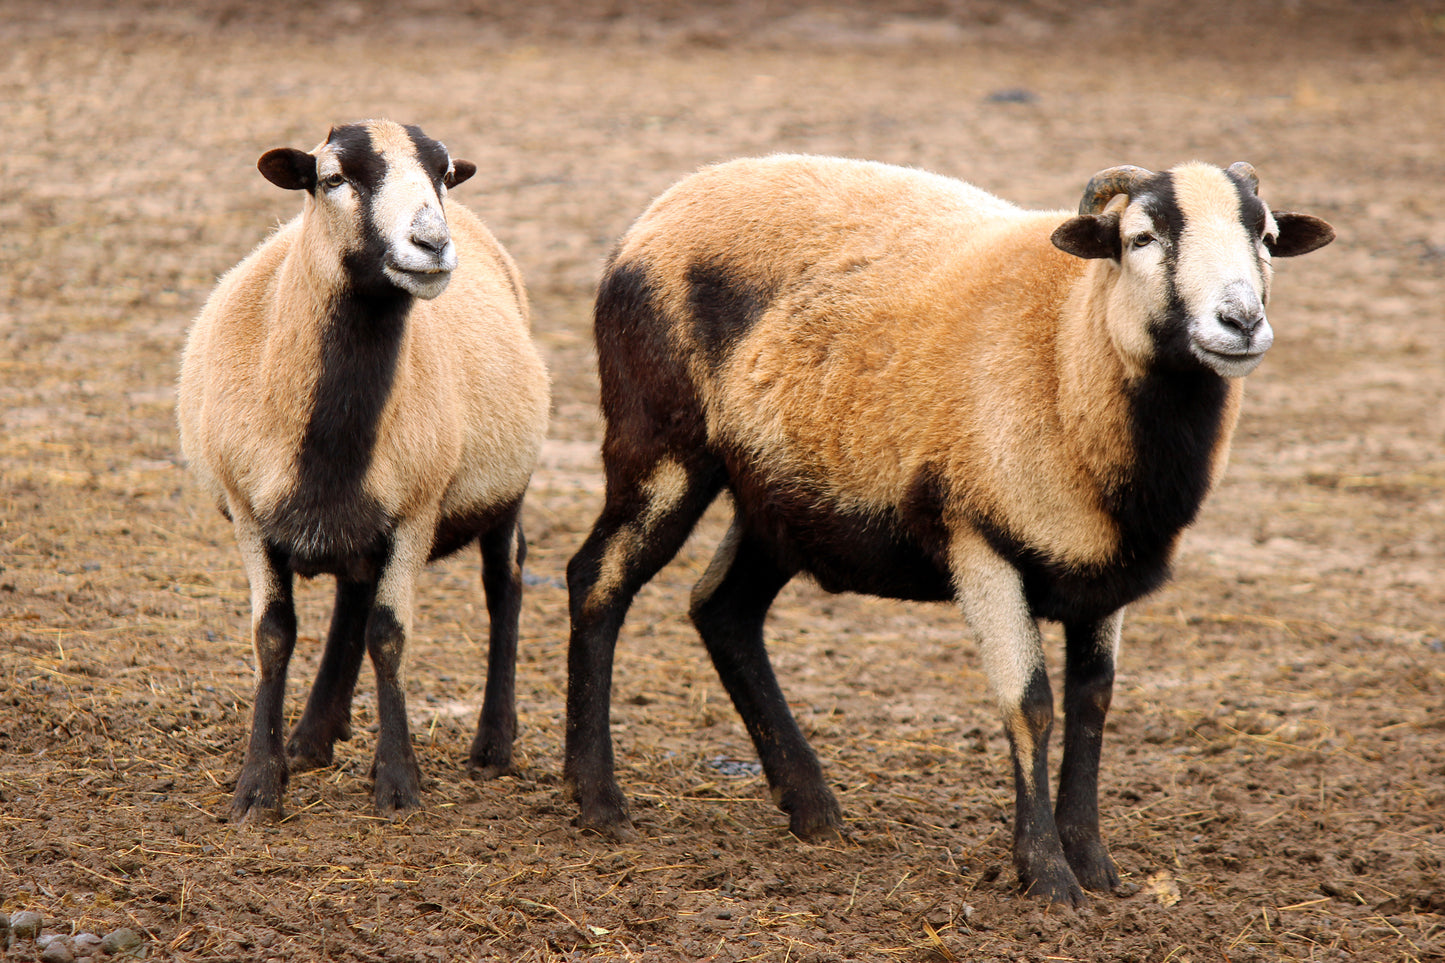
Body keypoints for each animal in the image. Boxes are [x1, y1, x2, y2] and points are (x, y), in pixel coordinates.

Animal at [178, 120, 550, 822]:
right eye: (332, 179)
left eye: (443, 174)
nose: (432, 244)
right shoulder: (247, 512)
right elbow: (273, 636)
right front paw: (260, 785)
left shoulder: (416, 512)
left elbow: (389, 635)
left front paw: (398, 782)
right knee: (352, 594)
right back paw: (312, 736)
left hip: (504, 490)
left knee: (504, 582)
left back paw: (493, 745)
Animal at [562, 155, 1333, 905]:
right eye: (1140, 239)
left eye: (1267, 238)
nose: (1240, 321)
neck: (1066, 350)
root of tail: (656, 212)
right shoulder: (979, 540)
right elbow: (1030, 704)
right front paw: (1048, 879)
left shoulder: (1104, 568)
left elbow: (1092, 703)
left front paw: (1093, 864)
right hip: (660, 443)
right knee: (597, 579)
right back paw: (598, 800)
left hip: (780, 497)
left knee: (722, 609)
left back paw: (811, 807)